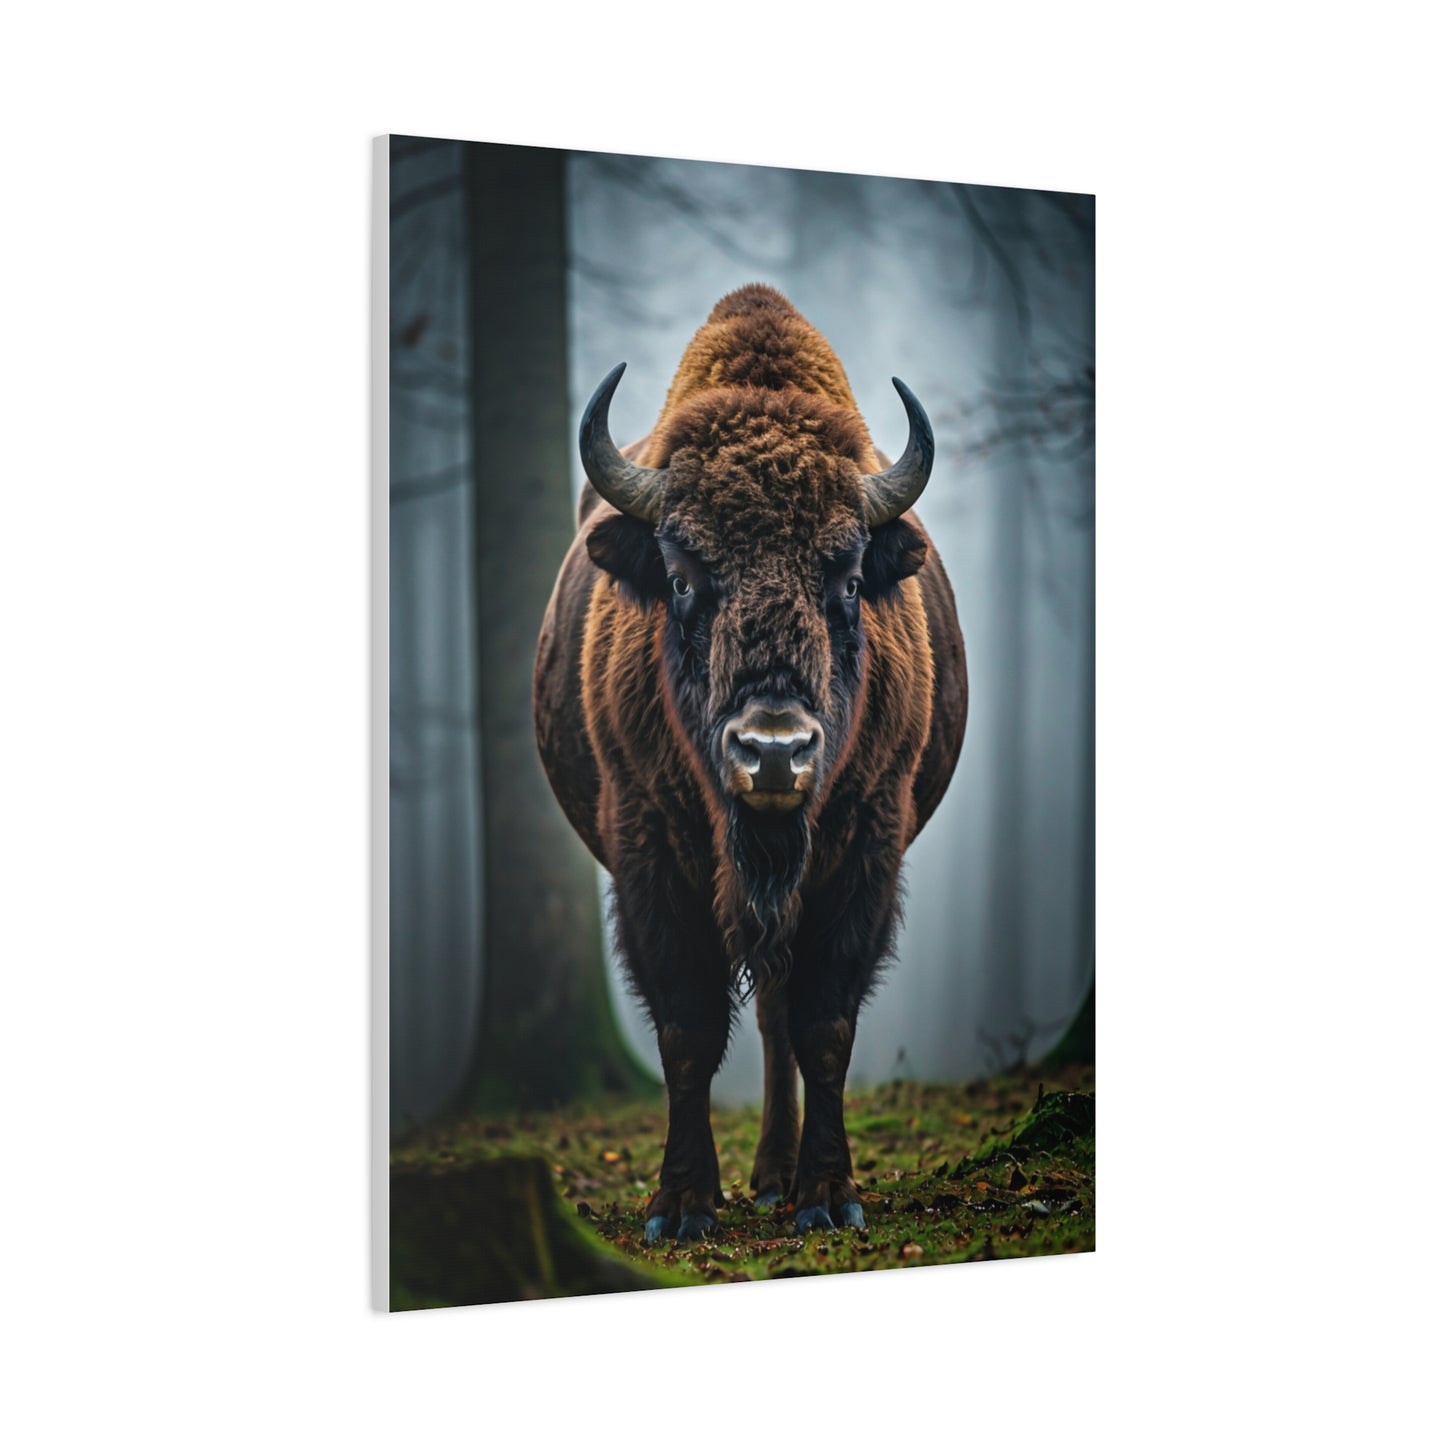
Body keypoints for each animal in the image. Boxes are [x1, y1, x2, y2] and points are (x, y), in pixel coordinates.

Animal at [535, 285, 967, 1240]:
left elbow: (825, 1022)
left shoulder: (864, 844)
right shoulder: (649, 848)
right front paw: (681, 1205)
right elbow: (687, 1028)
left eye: (848, 577)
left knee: (776, 1014)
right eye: (682, 574)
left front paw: (829, 1196)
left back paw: (777, 1178)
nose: (774, 752)